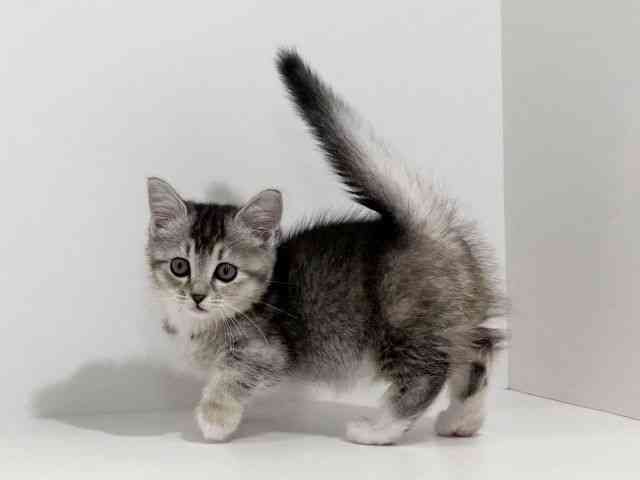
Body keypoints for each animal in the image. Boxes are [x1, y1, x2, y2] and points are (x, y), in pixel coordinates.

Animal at [146, 49, 506, 445]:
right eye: (180, 266)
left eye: (226, 271)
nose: (197, 296)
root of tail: (424, 226)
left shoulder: (268, 350)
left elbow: (232, 374)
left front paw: (215, 419)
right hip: (452, 320)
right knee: (480, 352)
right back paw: (462, 420)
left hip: (403, 325)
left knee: (427, 373)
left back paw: (378, 430)